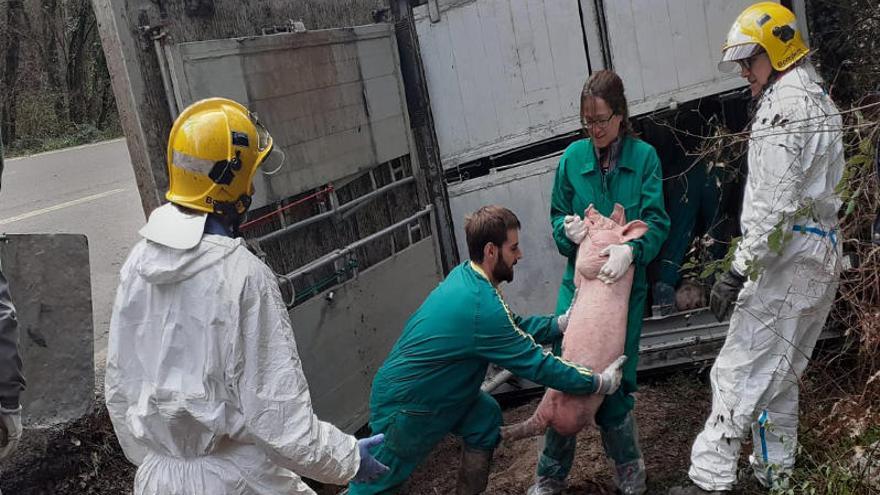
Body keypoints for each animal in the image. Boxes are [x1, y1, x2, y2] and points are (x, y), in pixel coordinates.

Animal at [502, 204, 648, 442]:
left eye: (607, 224)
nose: (591, 208)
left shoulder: (594, 262)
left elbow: (583, 265)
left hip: (553, 393)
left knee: (536, 420)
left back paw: (502, 431)